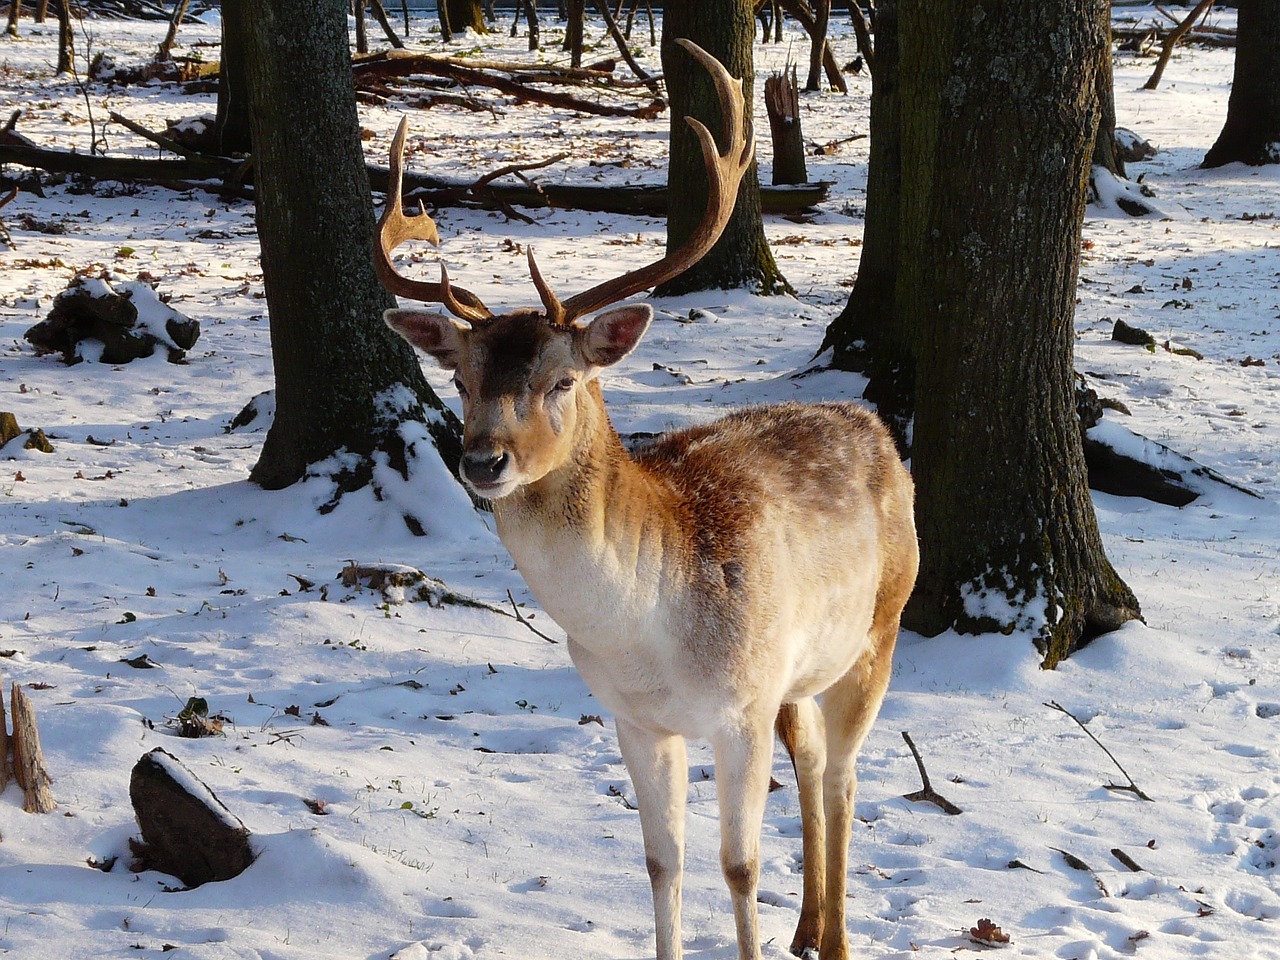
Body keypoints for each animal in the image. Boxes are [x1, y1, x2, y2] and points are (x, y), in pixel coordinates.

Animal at [373, 39, 916, 960]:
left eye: (562, 380)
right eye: (463, 380)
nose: (482, 459)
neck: (647, 632)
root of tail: (874, 424)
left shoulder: (741, 705)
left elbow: (740, 868)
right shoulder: (634, 719)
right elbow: (663, 864)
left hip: (880, 626)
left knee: (846, 774)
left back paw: (837, 937)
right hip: (799, 674)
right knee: (812, 758)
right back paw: (808, 927)